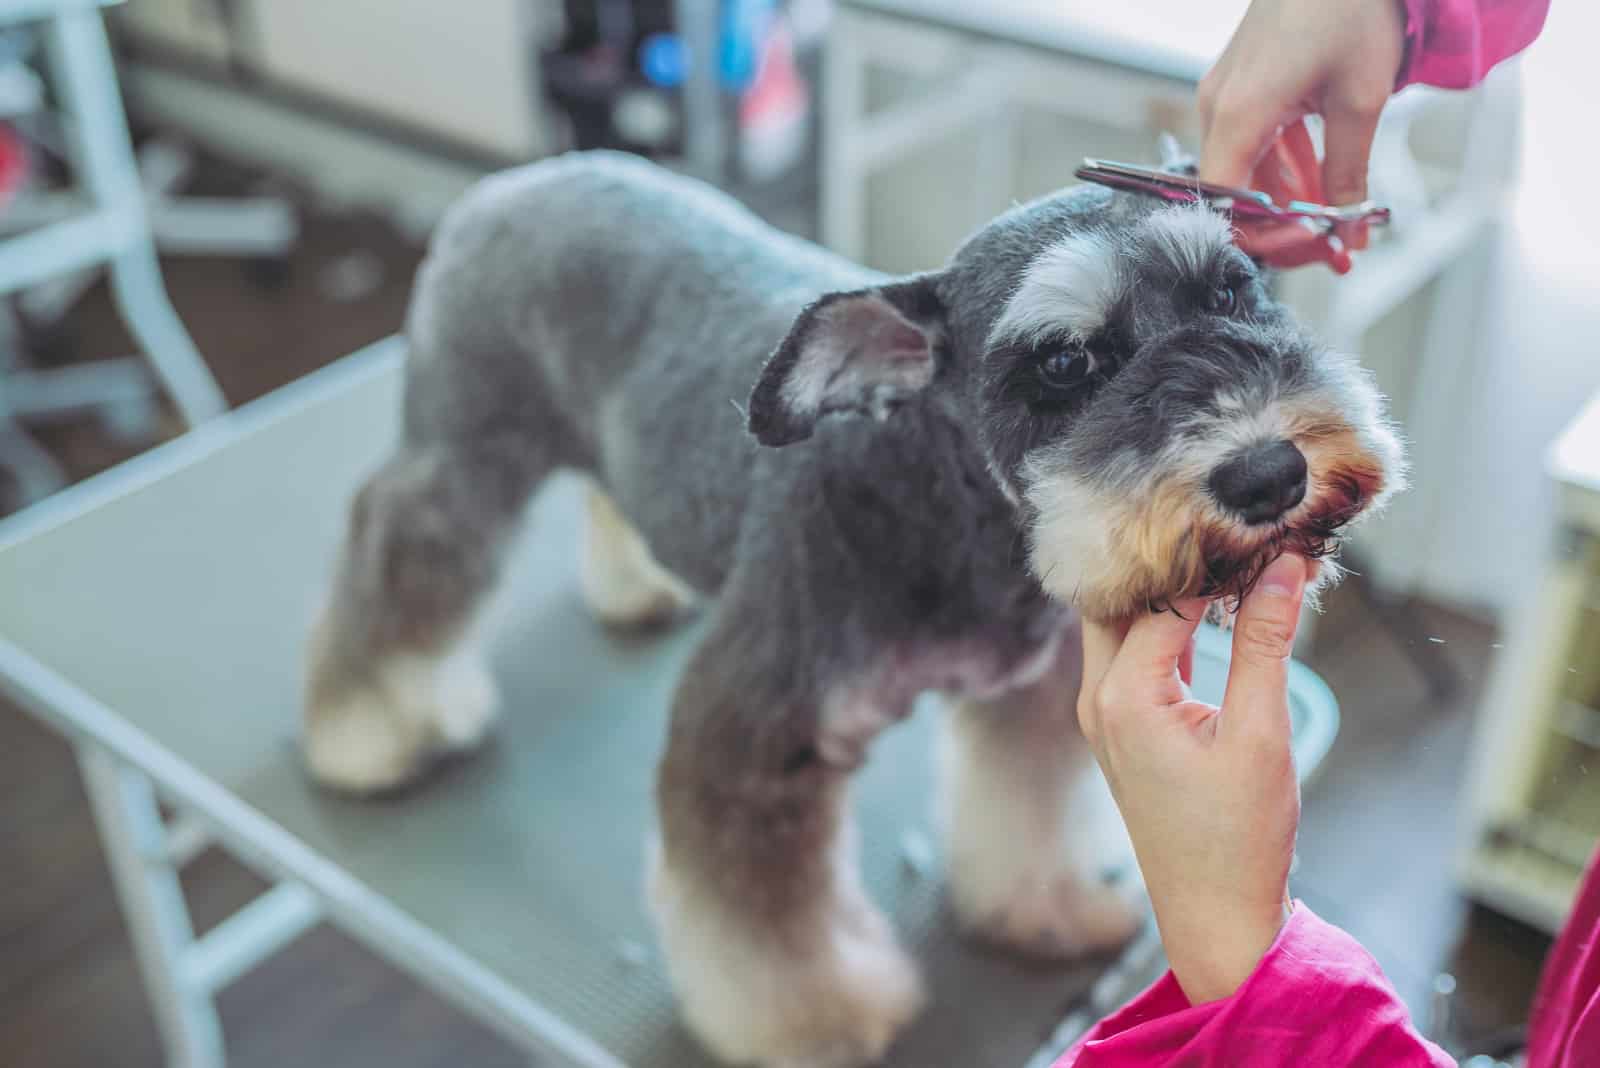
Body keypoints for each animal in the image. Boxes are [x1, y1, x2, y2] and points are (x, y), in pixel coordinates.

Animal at [300, 150, 1401, 1068]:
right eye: (1061, 363)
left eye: (1236, 290)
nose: (1269, 473)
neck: (944, 507)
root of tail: (517, 180)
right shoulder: (757, 731)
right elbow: (765, 922)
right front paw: (810, 1023)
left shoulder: (1033, 697)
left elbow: (1029, 811)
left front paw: (1042, 910)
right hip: (466, 449)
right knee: (400, 542)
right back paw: (366, 728)